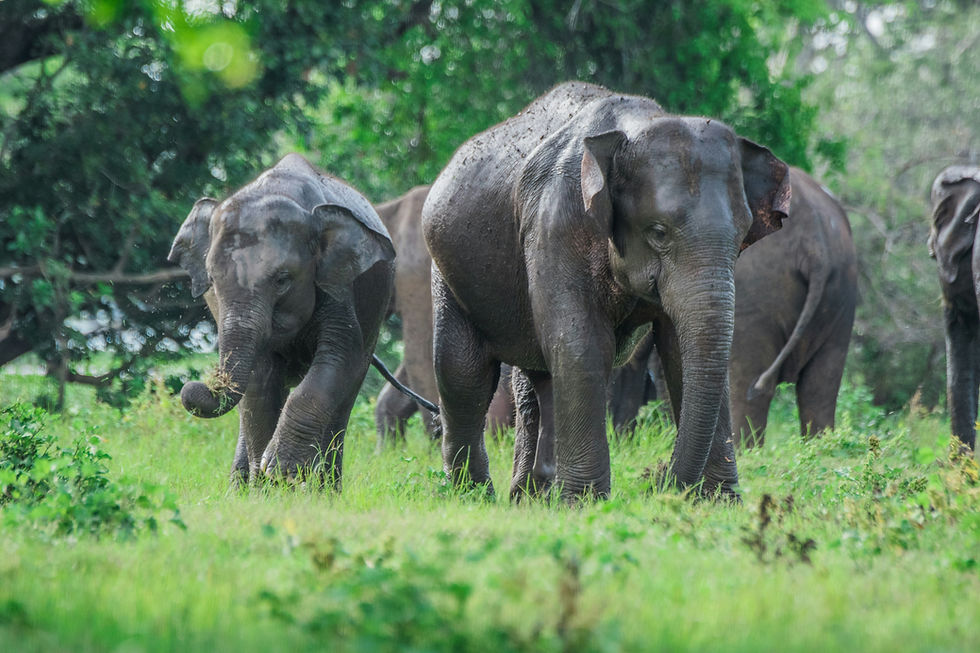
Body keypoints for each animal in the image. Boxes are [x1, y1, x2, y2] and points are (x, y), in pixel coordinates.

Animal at [168, 153, 395, 487]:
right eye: (212, 279)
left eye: (282, 279)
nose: (194, 386)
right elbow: (260, 381)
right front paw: (268, 484)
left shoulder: (338, 285)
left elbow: (340, 357)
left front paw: (283, 471)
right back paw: (242, 487)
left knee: (346, 395)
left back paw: (324, 489)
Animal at [421, 82, 790, 501]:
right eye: (658, 232)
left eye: (742, 235)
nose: (658, 483)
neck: (635, 125)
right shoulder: (556, 223)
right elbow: (581, 343)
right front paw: (585, 503)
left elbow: (679, 350)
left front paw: (719, 502)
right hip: (447, 271)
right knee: (463, 373)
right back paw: (475, 496)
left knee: (536, 377)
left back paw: (531, 497)